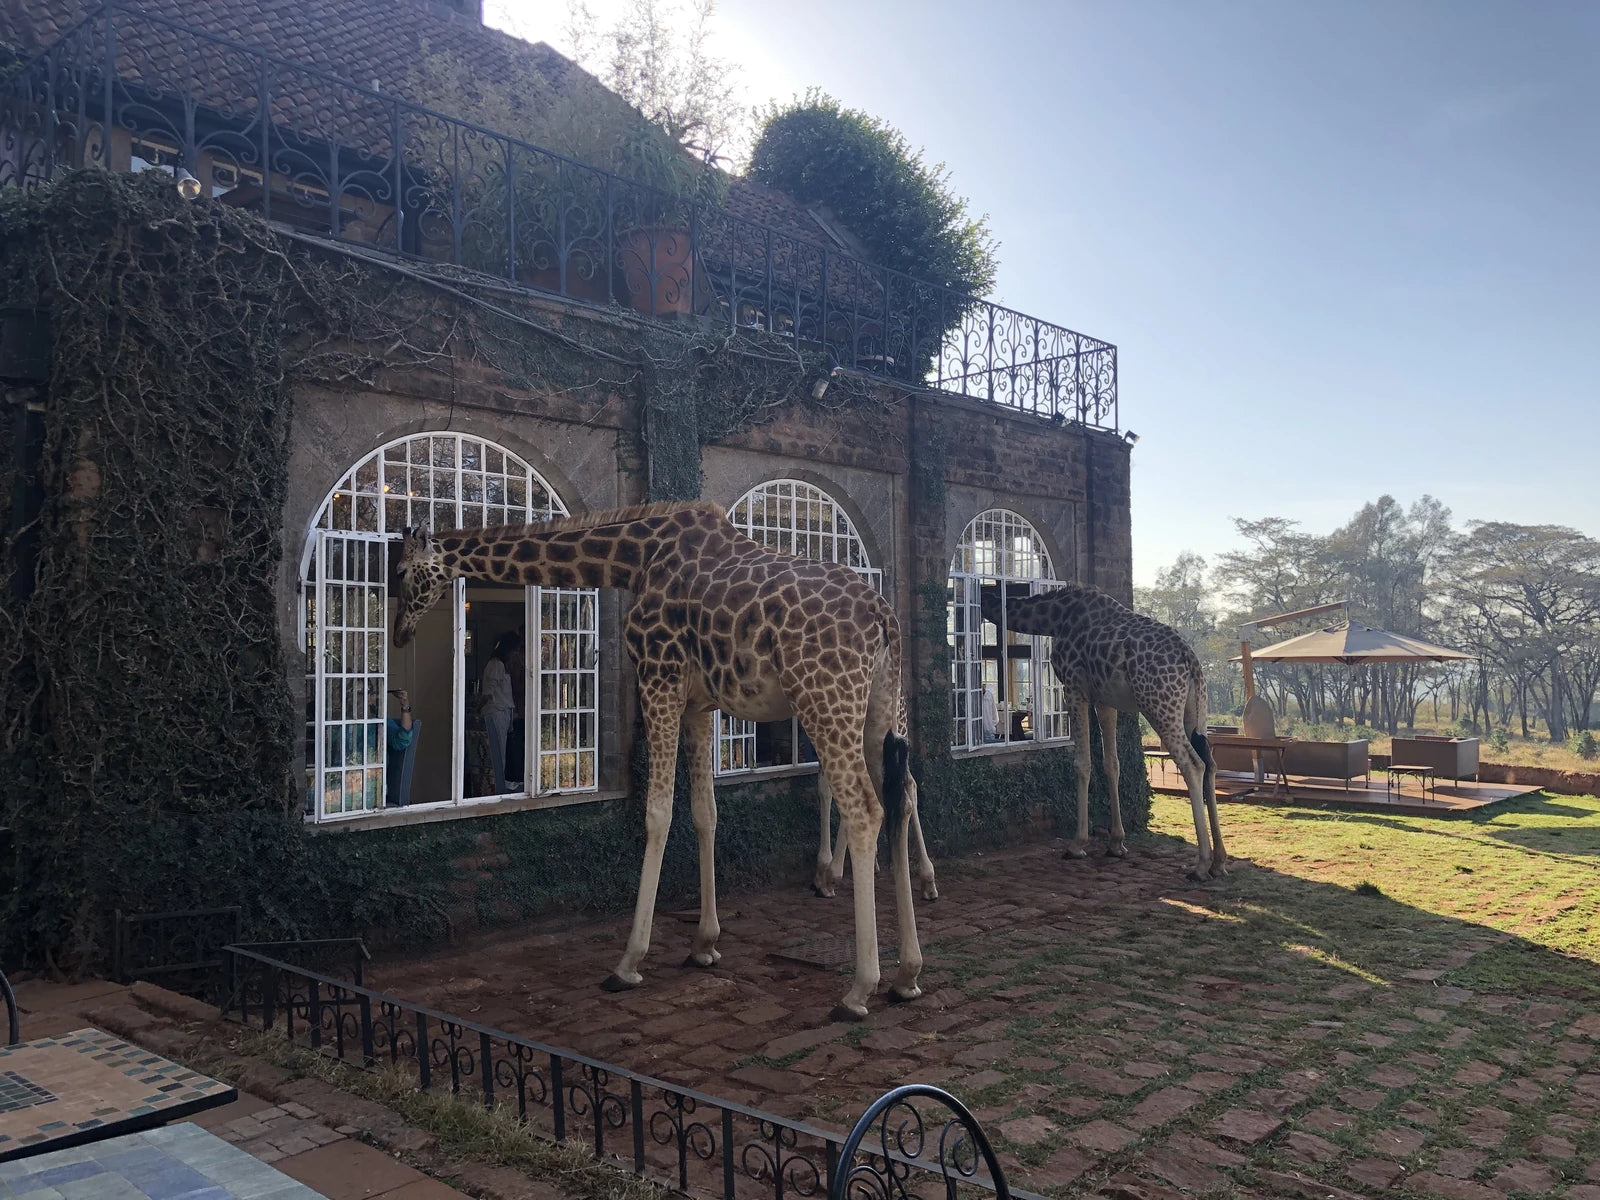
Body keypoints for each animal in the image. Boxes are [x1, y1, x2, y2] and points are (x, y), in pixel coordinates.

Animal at [392, 502, 924, 1019]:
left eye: (400, 571)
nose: (399, 633)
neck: (634, 560)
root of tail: (885, 616)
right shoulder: (699, 705)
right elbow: (706, 813)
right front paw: (704, 944)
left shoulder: (657, 678)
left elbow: (658, 813)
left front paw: (628, 962)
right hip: (877, 712)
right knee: (900, 800)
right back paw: (907, 974)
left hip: (824, 701)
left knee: (865, 810)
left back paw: (859, 989)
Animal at [980, 582, 1225, 882]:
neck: (1054, 618)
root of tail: (1191, 661)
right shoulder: (1105, 699)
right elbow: (1112, 763)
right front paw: (1116, 843)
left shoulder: (1074, 688)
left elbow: (1082, 764)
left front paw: (1077, 844)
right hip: (1195, 710)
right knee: (1210, 763)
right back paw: (1219, 861)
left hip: (1158, 706)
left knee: (1193, 764)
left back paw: (1201, 865)